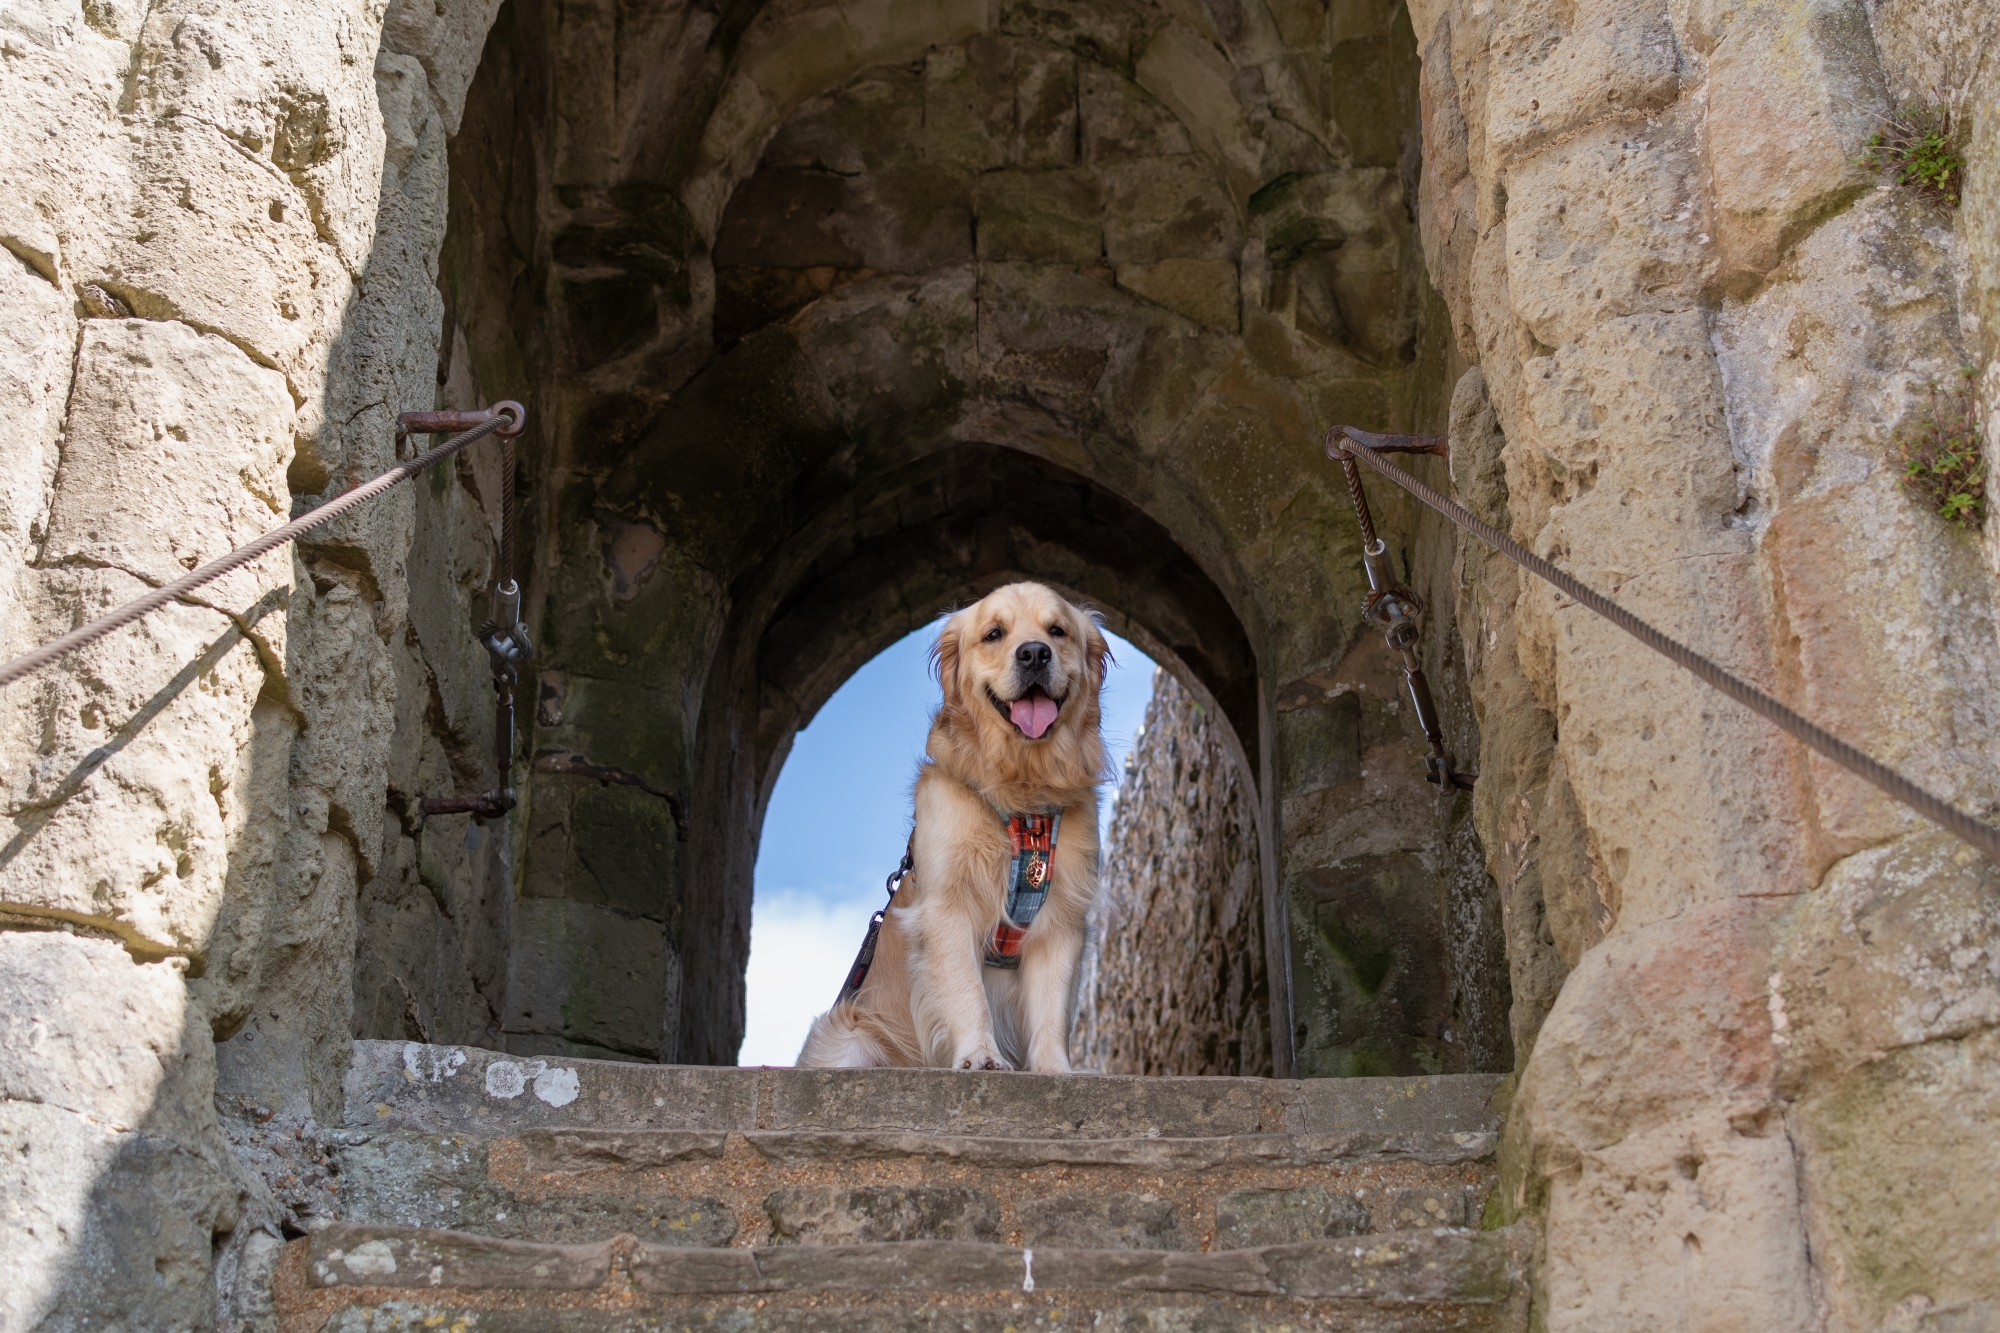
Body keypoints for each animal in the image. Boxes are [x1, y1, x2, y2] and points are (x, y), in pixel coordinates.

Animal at [792, 580, 1112, 1072]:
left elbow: (1052, 1008)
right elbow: (967, 992)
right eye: (994, 634)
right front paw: (980, 1056)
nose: (1034, 654)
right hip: (844, 1033)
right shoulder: (948, 905)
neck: (1022, 792)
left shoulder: (1063, 916)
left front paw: (1055, 1070)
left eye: (1056, 631)